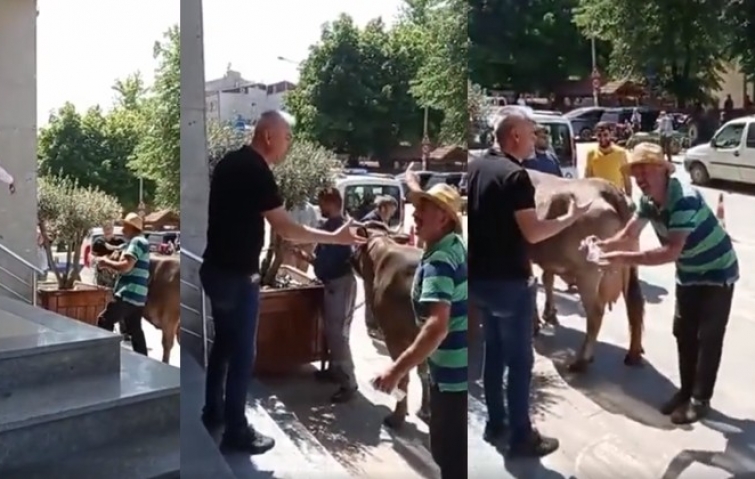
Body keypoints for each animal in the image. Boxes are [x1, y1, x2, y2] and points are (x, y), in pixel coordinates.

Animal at [350, 223, 428, 430]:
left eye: (357, 244)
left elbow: (402, 375)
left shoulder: (395, 335)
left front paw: (398, 416)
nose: (350, 259)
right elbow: (424, 372)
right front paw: (426, 410)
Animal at [524, 171, 644, 374]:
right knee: (635, 303)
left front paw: (536, 323)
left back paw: (581, 360)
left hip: (588, 273)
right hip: (631, 264)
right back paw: (633, 354)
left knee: (595, 312)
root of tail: (609, 189)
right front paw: (548, 314)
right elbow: (546, 279)